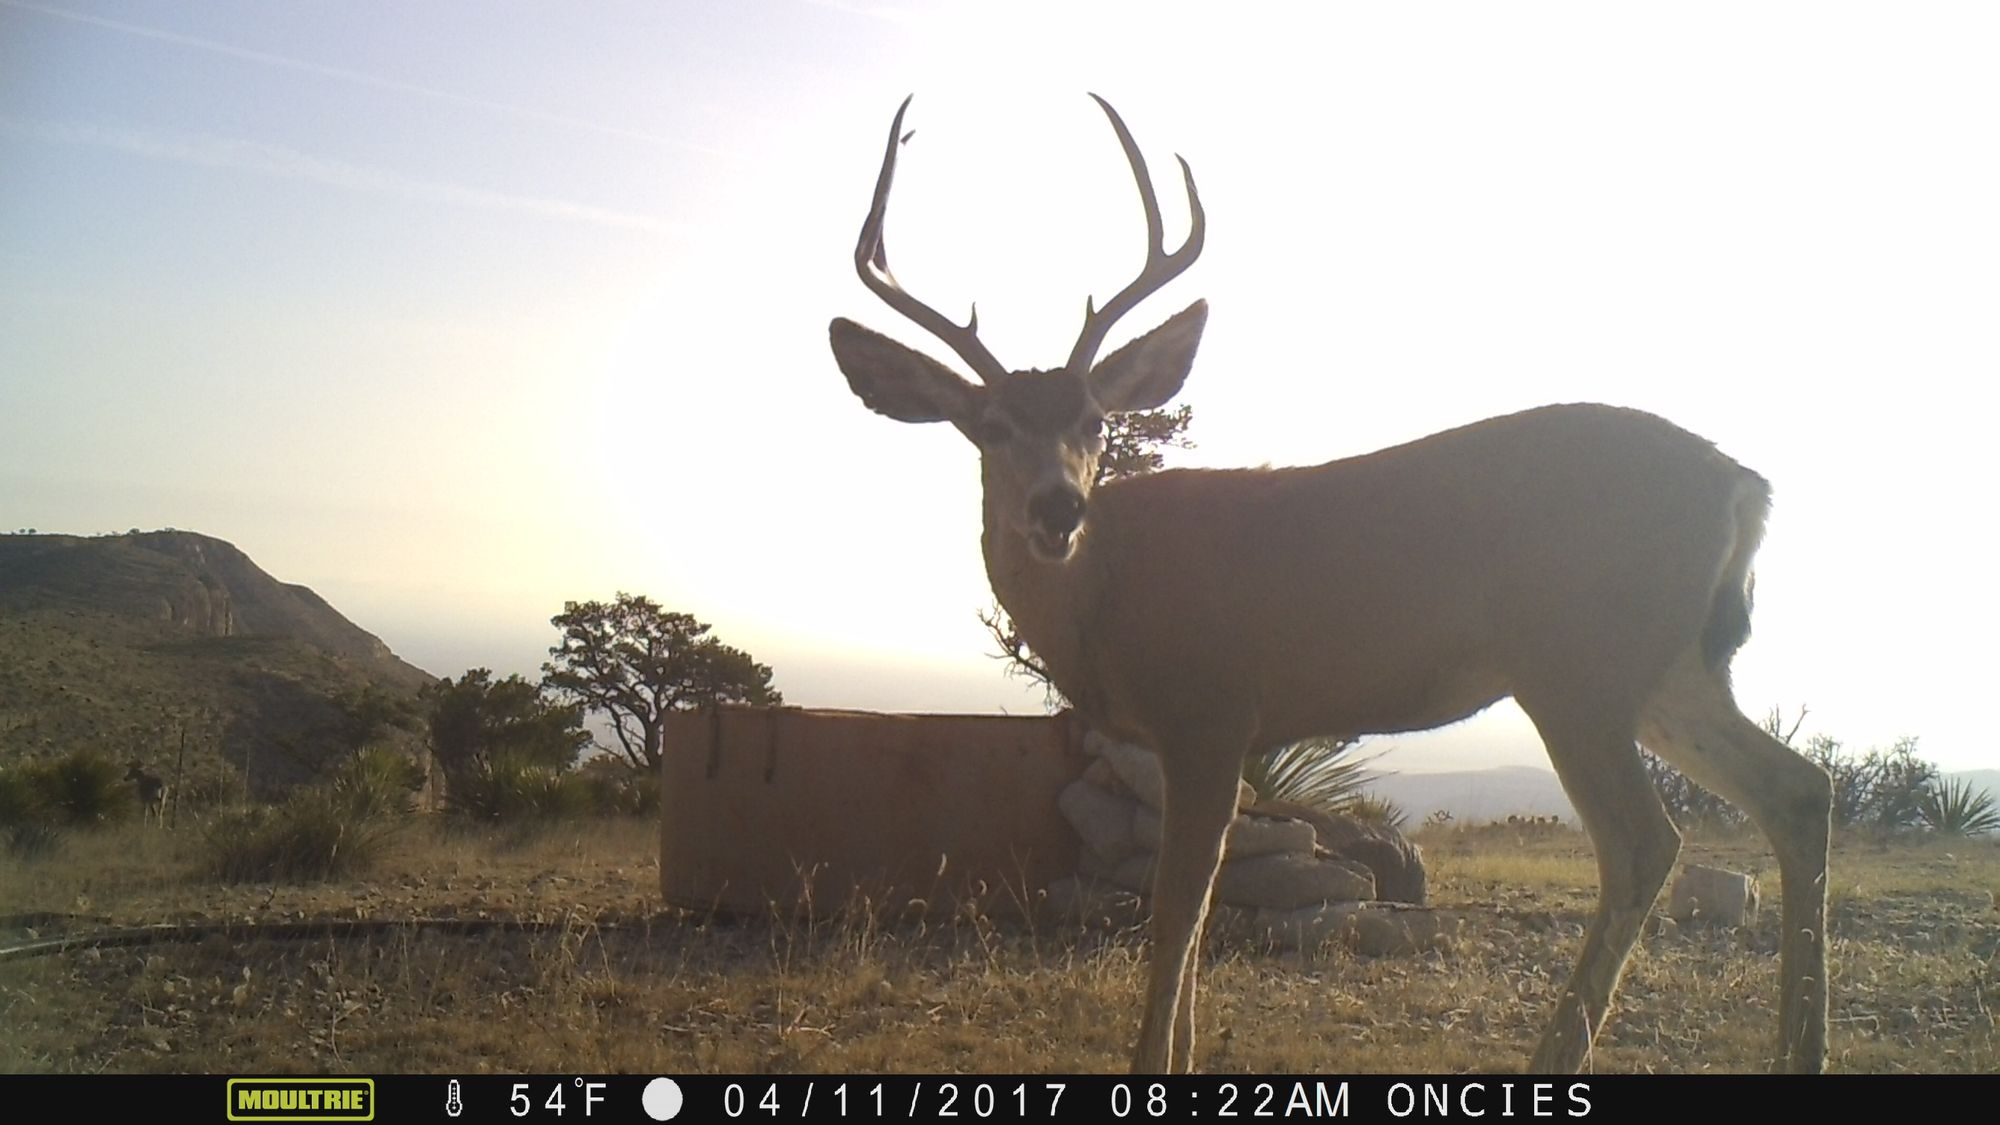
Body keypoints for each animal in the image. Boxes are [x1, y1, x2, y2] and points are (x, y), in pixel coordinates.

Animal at [826, 94, 1831, 1074]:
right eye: (990, 426)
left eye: (1094, 419)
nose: (1057, 506)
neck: (1107, 593)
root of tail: (1744, 483)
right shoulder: (1207, 733)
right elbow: (1194, 909)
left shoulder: (1209, 708)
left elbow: (1178, 908)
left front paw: (1155, 1061)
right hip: (1668, 671)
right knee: (1798, 787)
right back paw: (1800, 1047)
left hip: (1578, 666)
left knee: (1644, 843)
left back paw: (1563, 1051)